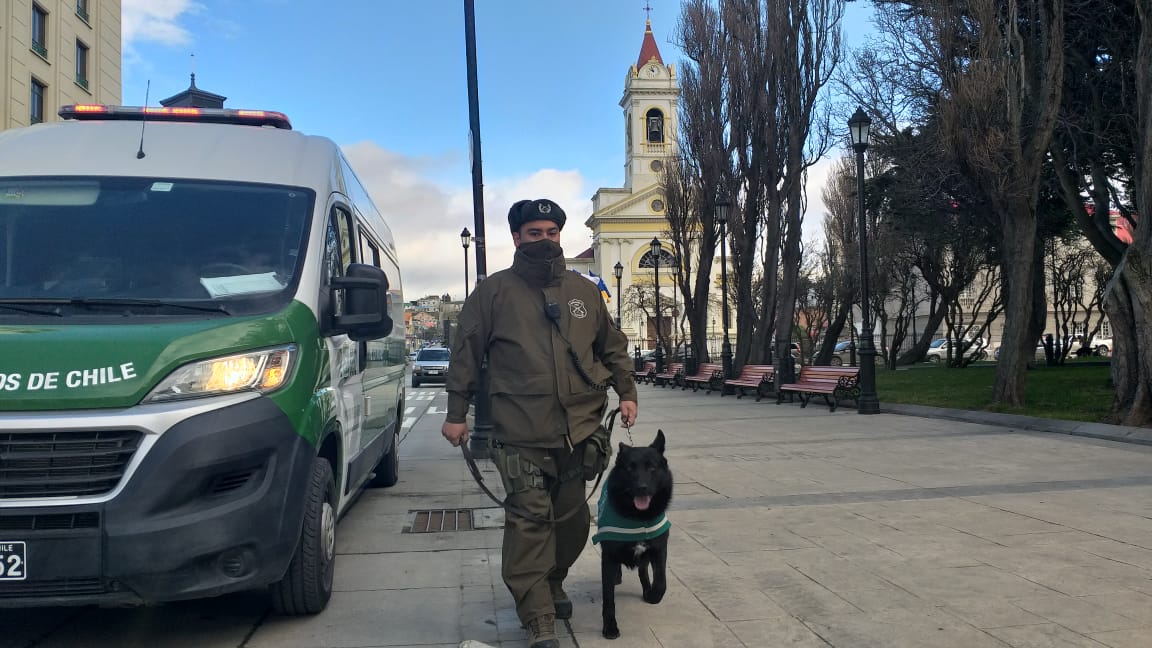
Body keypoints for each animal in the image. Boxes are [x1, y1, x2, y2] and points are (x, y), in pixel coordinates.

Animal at [594, 428, 672, 636]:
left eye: (651, 468)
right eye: (630, 468)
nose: (641, 488)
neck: (637, 517)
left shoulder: (659, 549)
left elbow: (661, 582)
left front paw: (653, 595)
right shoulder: (609, 555)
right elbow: (608, 598)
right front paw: (610, 626)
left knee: (643, 572)